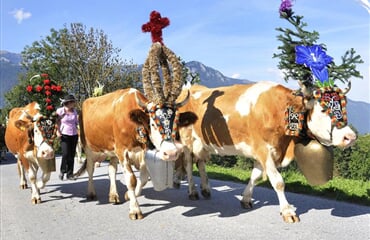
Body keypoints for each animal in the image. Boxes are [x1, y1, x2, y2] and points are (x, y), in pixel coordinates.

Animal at [175, 81, 356, 222]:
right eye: (323, 110)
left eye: (344, 107)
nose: (350, 136)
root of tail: (189, 88)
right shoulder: (264, 150)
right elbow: (278, 181)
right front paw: (287, 211)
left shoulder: (263, 152)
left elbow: (255, 177)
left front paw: (246, 199)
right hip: (187, 140)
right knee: (189, 164)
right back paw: (192, 191)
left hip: (202, 143)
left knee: (200, 162)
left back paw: (206, 189)